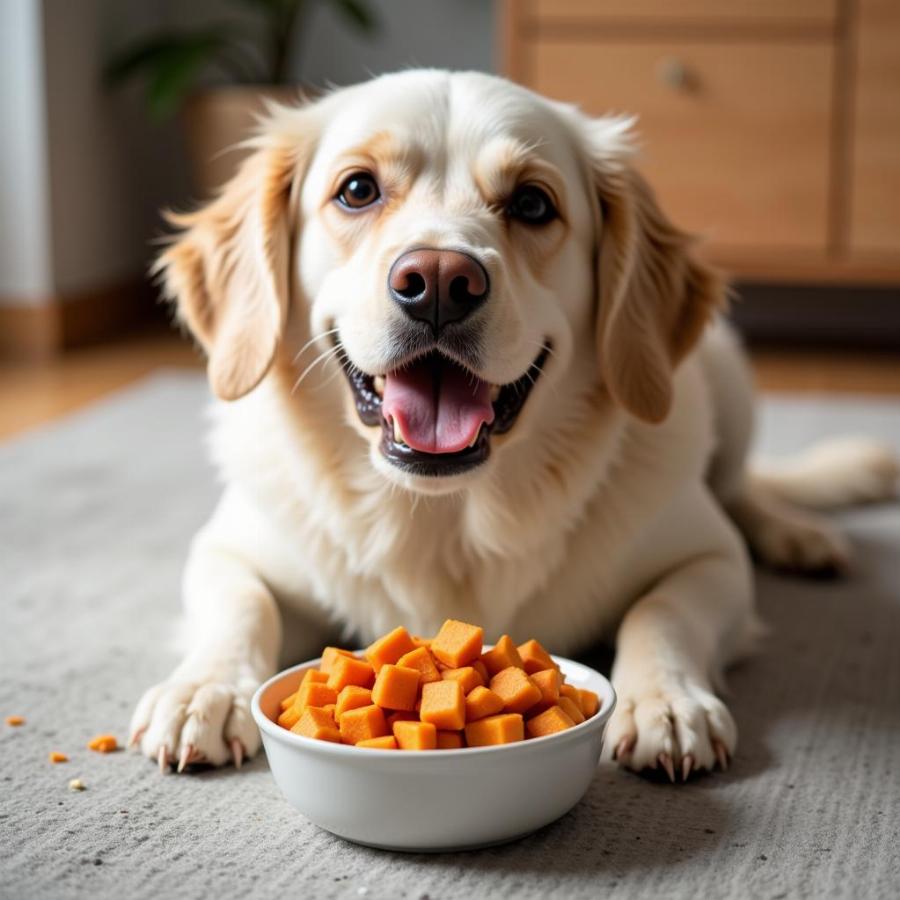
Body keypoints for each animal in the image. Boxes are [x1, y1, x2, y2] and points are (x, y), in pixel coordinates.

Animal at [128, 68, 900, 780]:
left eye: (532, 203)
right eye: (357, 190)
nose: (439, 283)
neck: (449, 517)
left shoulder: (710, 558)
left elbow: (661, 613)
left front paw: (667, 701)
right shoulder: (230, 547)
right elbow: (241, 607)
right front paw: (204, 691)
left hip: (729, 377)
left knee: (745, 489)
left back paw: (798, 535)